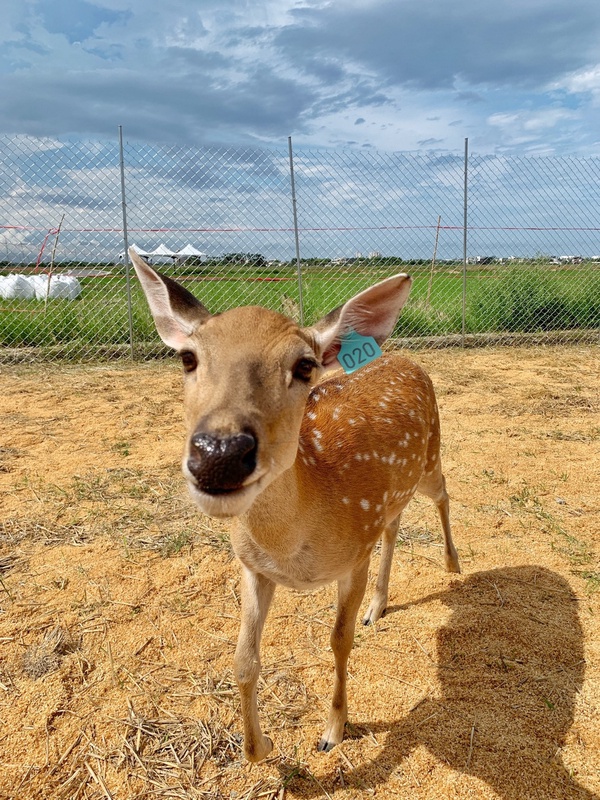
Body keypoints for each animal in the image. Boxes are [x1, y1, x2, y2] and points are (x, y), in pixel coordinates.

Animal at [128, 247, 460, 762]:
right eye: (188, 357)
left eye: (305, 365)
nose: (219, 455)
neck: (295, 547)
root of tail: (406, 357)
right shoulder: (252, 565)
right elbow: (243, 659)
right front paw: (259, 747)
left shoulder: (353, 555)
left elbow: (339, 640)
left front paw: (333, 731)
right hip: (393, 493)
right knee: (394, 524)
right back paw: (379, 606)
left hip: (429, 456)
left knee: (443, 491)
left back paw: (453, 564)